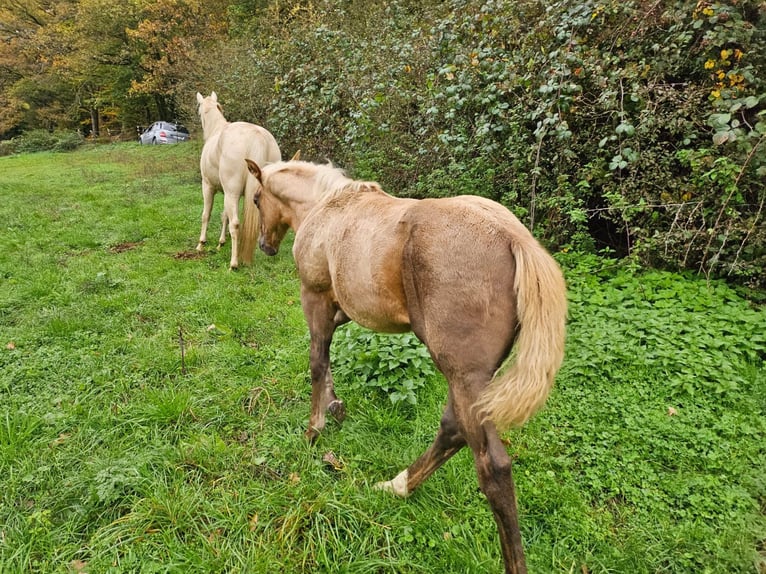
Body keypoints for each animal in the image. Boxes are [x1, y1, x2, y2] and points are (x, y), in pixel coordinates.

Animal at [196, 91, 284, 270]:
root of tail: (257, 136)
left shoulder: (208, 186)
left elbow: (206, 214)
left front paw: (201, 244)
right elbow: (224, 215)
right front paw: (221, 243)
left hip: (231, 193)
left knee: (235, 224)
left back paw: (234, 264)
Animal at [246, 159, 568, 574]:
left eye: (257, 198)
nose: (265, 246)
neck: (325, 205)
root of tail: (515, 238)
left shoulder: (314, 297)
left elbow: (318, 360)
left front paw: (314, 428)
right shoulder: (342, 308)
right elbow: (329, 356)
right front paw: (335, 405)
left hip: (464, 377)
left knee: (491, 466)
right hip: (472, 382)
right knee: (452, 429)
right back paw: (397, 485)